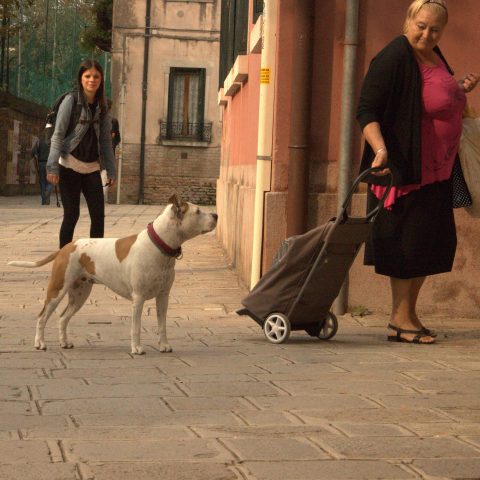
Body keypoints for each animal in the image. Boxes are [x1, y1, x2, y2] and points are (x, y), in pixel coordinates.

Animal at [7, 193, 218, 354]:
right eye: (198, 211)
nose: (216, 214)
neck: (159, 245)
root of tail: (66, 247)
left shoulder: (163, 296)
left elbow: (162, 324)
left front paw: (164, 346)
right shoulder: (138, 297)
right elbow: (135, 327)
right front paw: (137, 348)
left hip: (80, 294)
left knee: (63, 317)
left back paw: (64, 342)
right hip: (57, 289)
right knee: (42, 316)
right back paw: (40, 343)